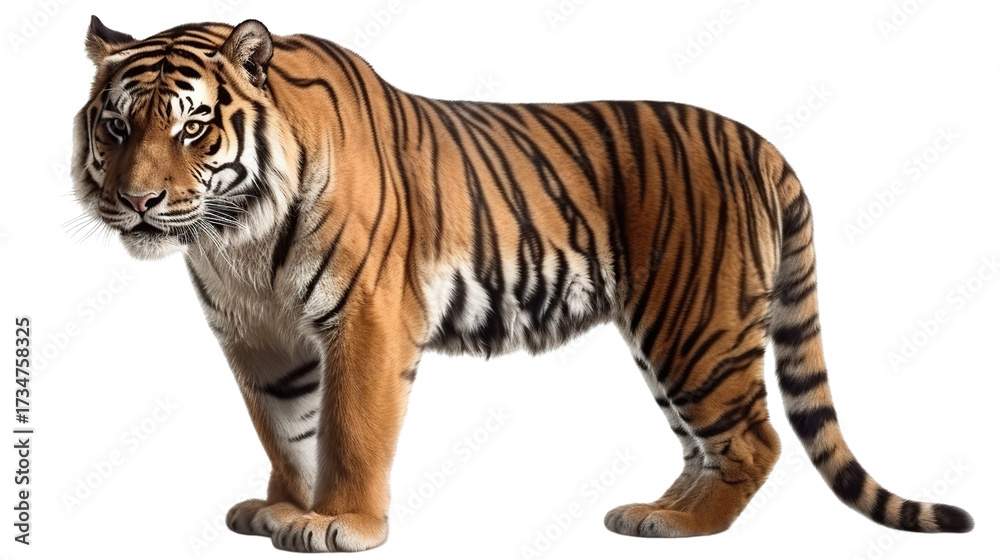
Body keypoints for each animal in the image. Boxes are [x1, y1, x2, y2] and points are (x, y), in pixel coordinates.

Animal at [73, 16, 973, 553]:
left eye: (193, 127)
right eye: (116, 125)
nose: (138, 200)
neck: (237, 235)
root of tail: (761, 142)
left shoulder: (367, 319)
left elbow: (349, 430)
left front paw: (342, 523)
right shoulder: (259, 337)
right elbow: (284, 430)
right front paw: (285, 508)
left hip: (696, 325)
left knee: (755, 438)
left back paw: (686, 527)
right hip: (668, 338)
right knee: (705, 443)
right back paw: (655, 511)